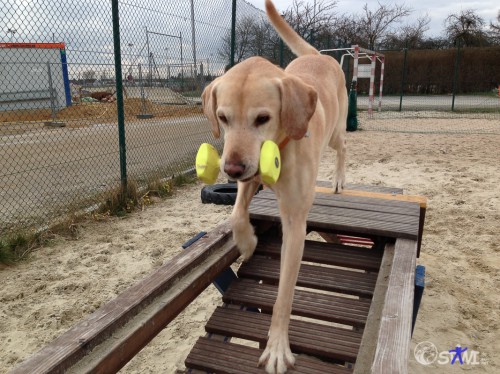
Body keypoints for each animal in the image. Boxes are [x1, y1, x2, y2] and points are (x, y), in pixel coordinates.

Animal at [201, 1, 346, 372]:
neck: (279, 146)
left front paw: (278, 346)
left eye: (262, 118)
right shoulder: (248, 181)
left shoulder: (294, 224)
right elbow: (237, 215)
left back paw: (340, 179)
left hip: (337, 132)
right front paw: (248, 242)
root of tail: (319, 56)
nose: (231, 169)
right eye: (222, 117)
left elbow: (284, 295)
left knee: (343, 147)